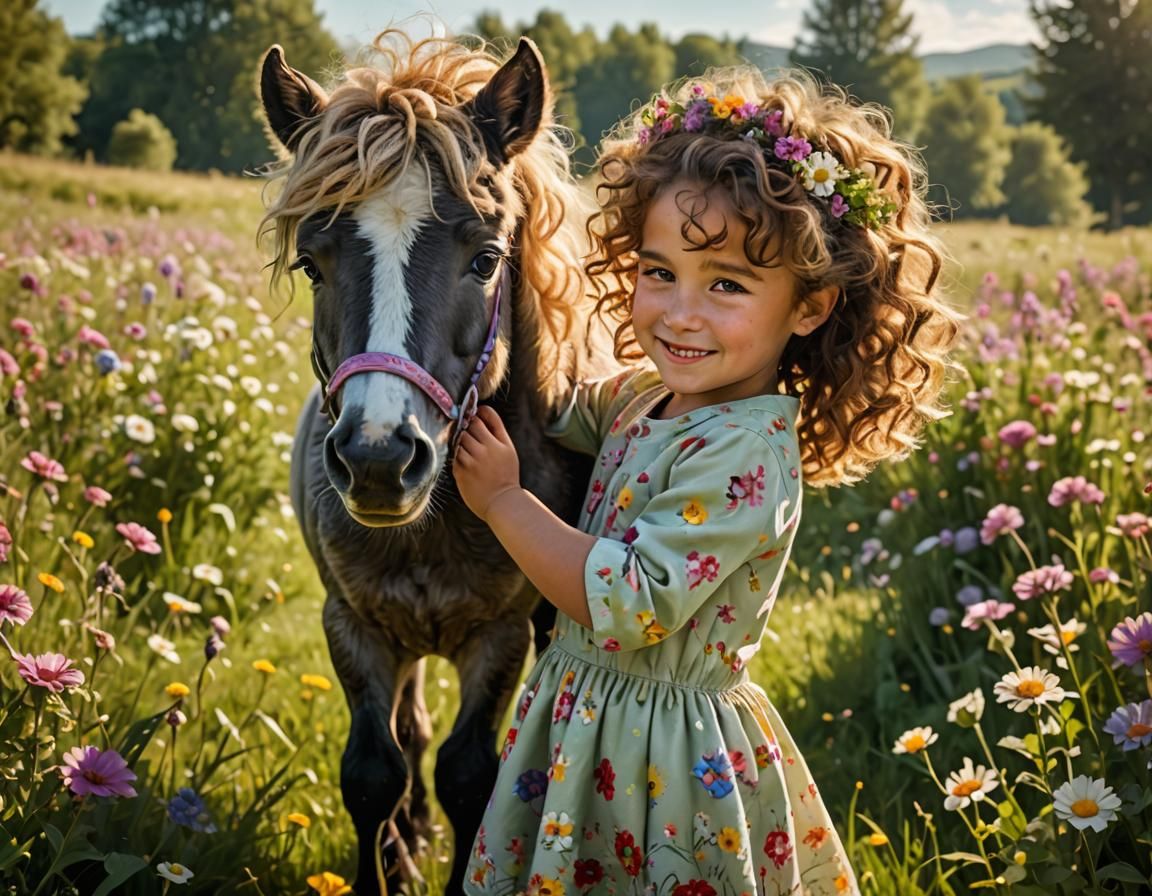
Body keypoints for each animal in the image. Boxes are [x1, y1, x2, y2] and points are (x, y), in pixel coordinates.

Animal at [258, 31, 608, 894]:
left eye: (485, 259)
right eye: (312, 264)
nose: (379, 458)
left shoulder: (501, 635)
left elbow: (469, 773)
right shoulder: (352, 625)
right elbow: (374, 770)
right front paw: (389, 853)